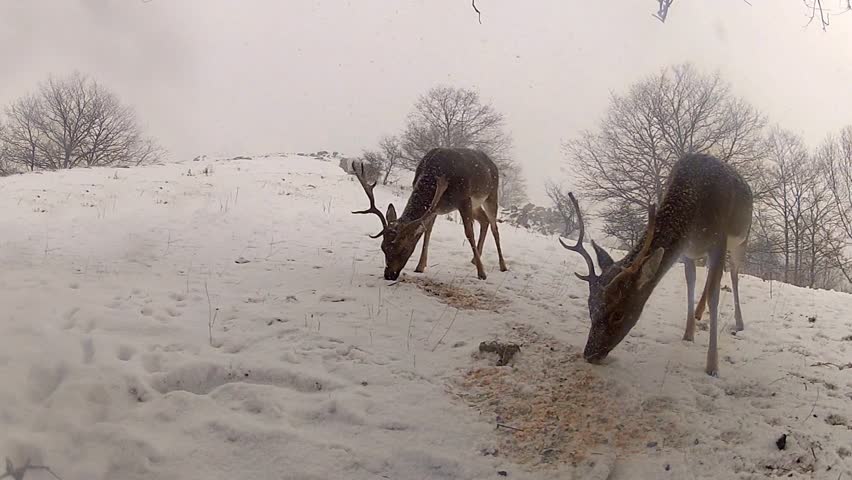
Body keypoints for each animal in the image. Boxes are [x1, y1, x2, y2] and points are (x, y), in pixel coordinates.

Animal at [352, 146, 506, 282]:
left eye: (403, 249)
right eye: (383, 248)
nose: (389, 275)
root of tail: (492, 164)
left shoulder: (464, 199)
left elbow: (469, 233)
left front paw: (482, 273)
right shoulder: (435, 208)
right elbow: (427, 231)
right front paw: (420, 266)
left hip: (491, 195)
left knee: (494, 227)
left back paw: (502, 265)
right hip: (476, 206)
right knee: (484, 220)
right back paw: (475, 259)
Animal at [564, 152, 752, 376]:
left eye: (618, 314)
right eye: (590, 307)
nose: (590, 354)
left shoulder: (719, 241)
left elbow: (715, 296)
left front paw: (712, 366)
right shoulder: (687, 251)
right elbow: (690, 283)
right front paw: (688, 334)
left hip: (742, 240)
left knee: (734, 273)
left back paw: (739, 323)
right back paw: (698, 313)